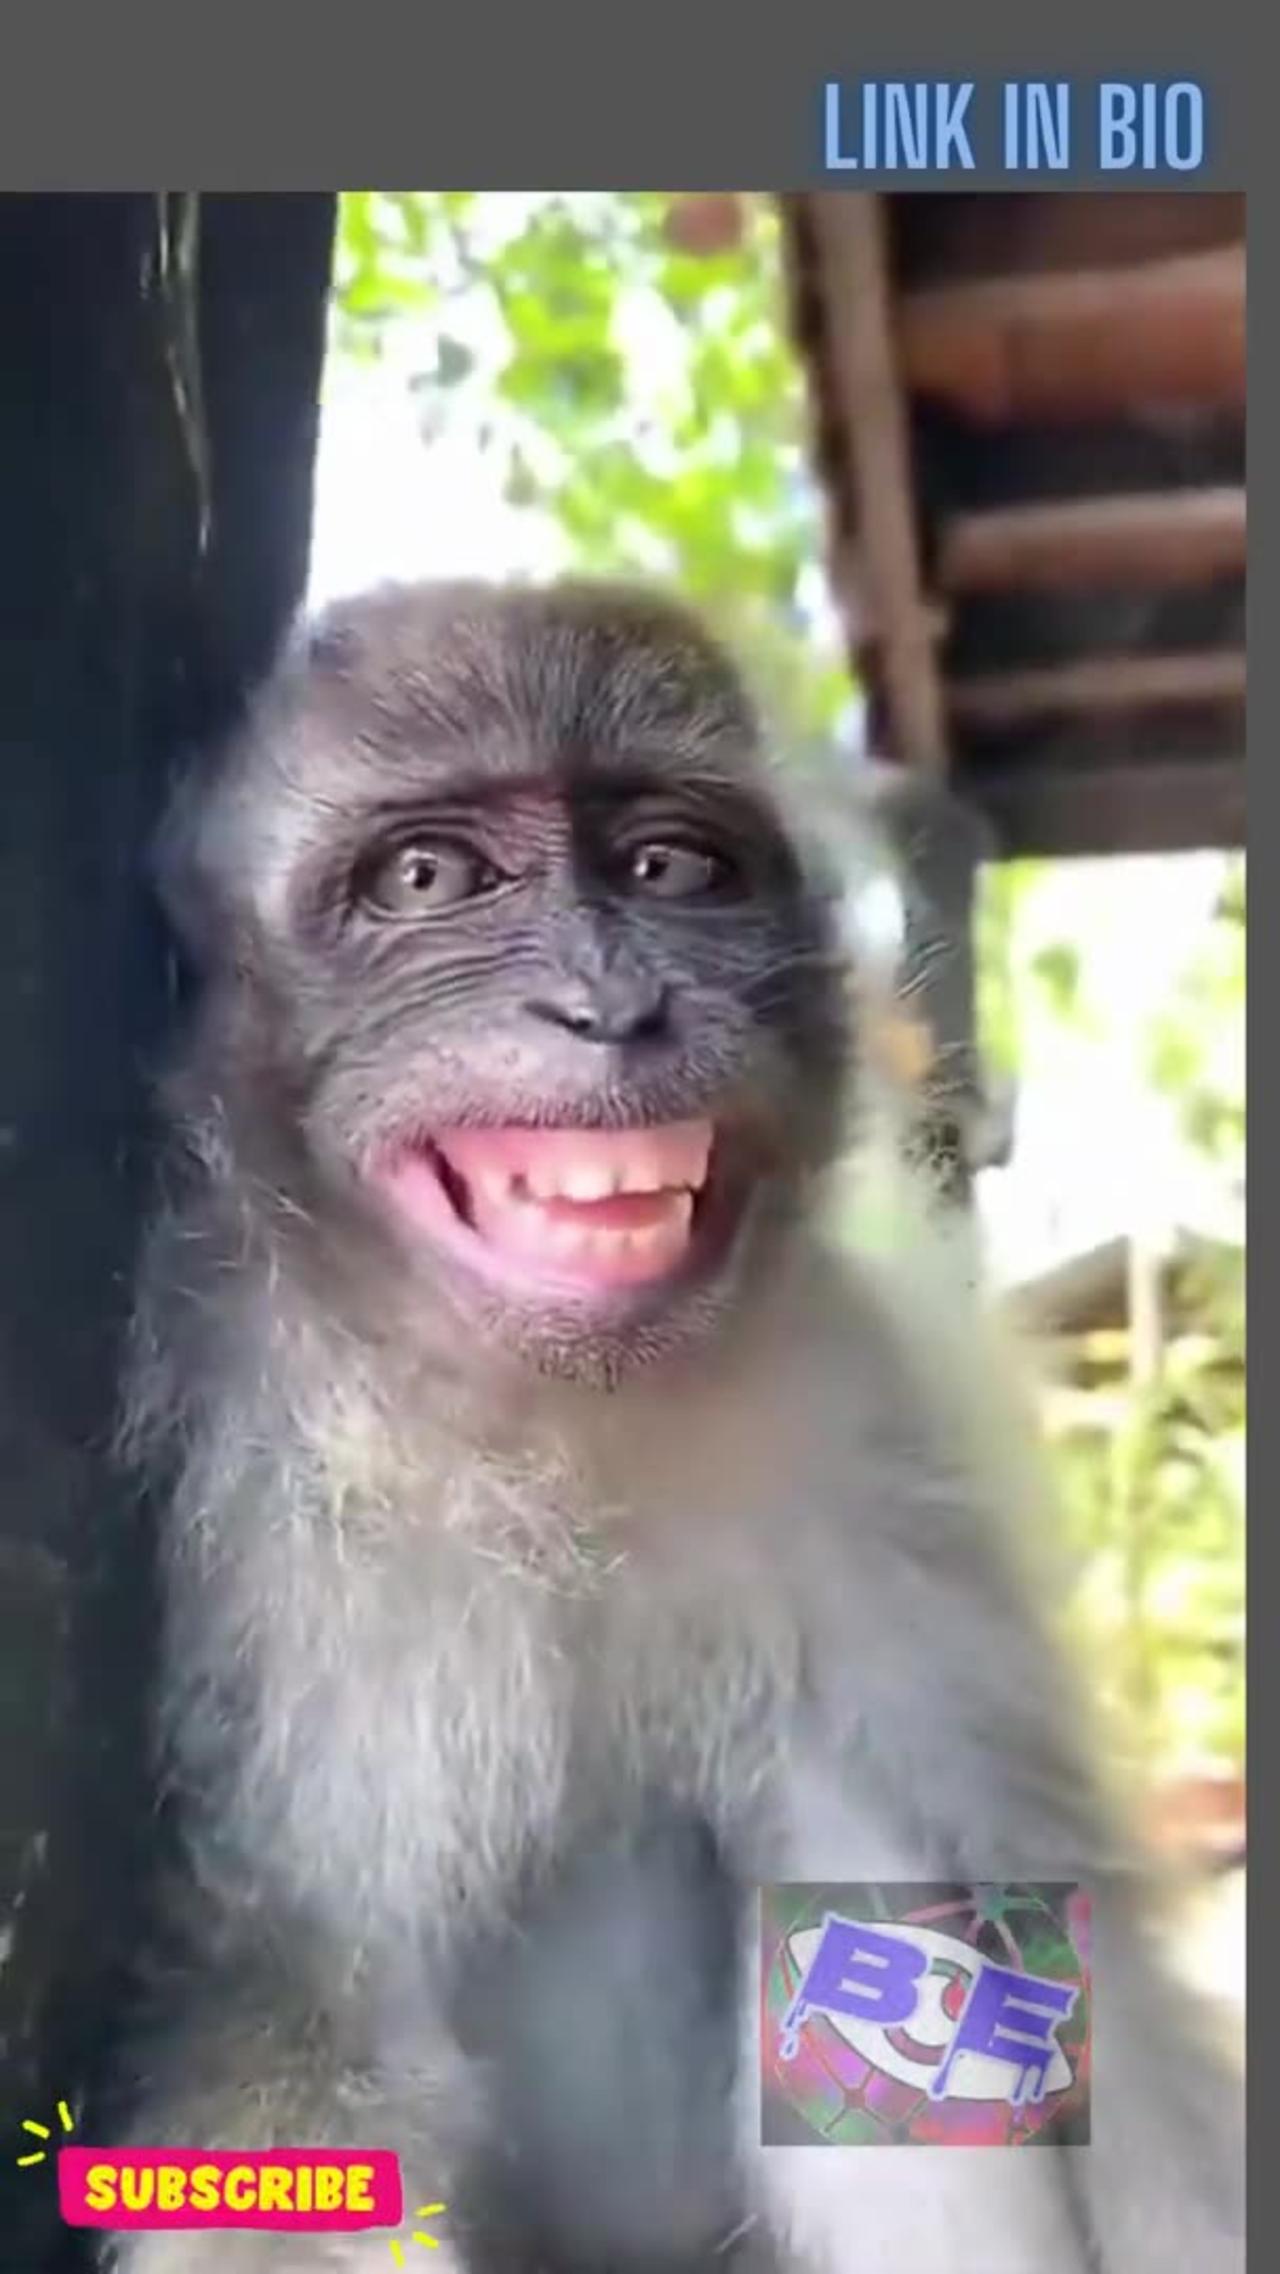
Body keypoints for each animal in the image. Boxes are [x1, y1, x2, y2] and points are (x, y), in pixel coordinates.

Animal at [99, 579, 1243, 2274]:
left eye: (669, 866)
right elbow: (295, 2044)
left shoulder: (879, 1413)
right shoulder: (261, 1512)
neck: (560, 1424)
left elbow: (1078, 1957)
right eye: (427, 877)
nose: (612, 1006)